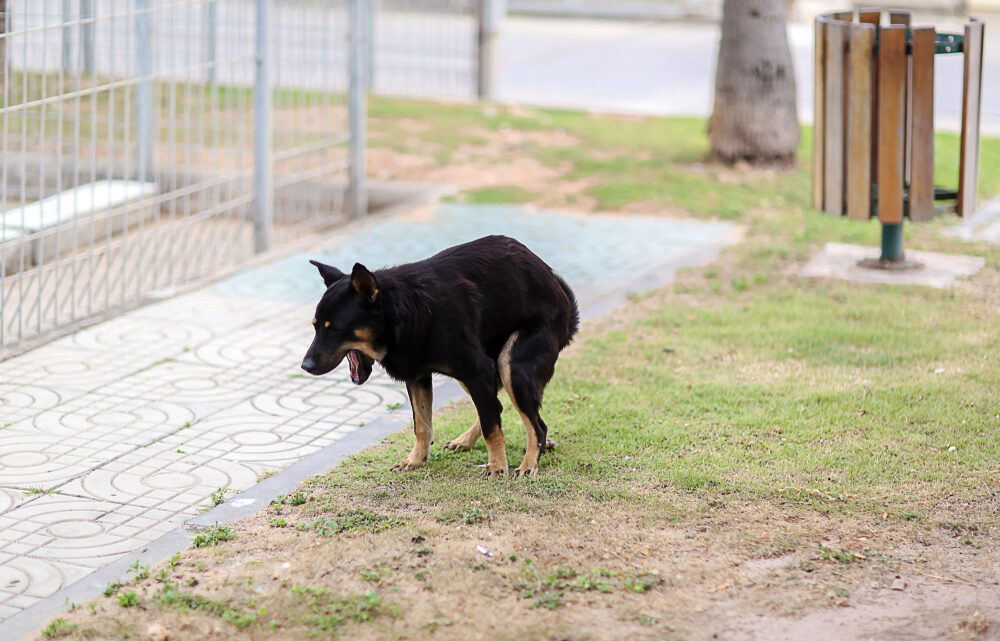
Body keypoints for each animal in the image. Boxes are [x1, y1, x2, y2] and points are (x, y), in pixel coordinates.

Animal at [302, 234, 580, 476]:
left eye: (334, 328)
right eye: (315, 326)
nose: (305, 366)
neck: (404, 313)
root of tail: (565, 303)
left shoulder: (477, 371)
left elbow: (492, 428)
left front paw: (497, 467)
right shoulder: (418, 377)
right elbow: (422, 426)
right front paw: (416, 460)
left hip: (510, 366)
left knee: (535, 424)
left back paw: (529, 463)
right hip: (485, 371)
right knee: (501, 408)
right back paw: (469, 441)